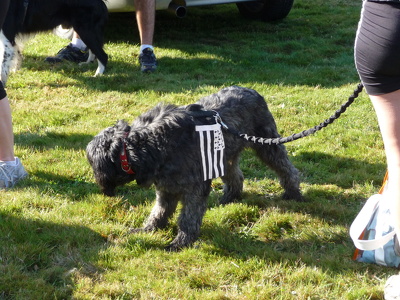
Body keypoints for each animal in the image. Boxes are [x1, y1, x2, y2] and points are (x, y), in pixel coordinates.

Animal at [86, 85, 302, 251]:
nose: (101, 187)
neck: (146, 145)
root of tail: (251, 90)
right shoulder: (166, 187)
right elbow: (159, 212)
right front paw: (148, 229)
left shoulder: (195, 187)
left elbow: (188, 218)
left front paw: (180, 242)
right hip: (223, 157)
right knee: (236, 177)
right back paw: (229, 198)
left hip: (267, 145)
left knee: (287, 169)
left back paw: (293, 193)